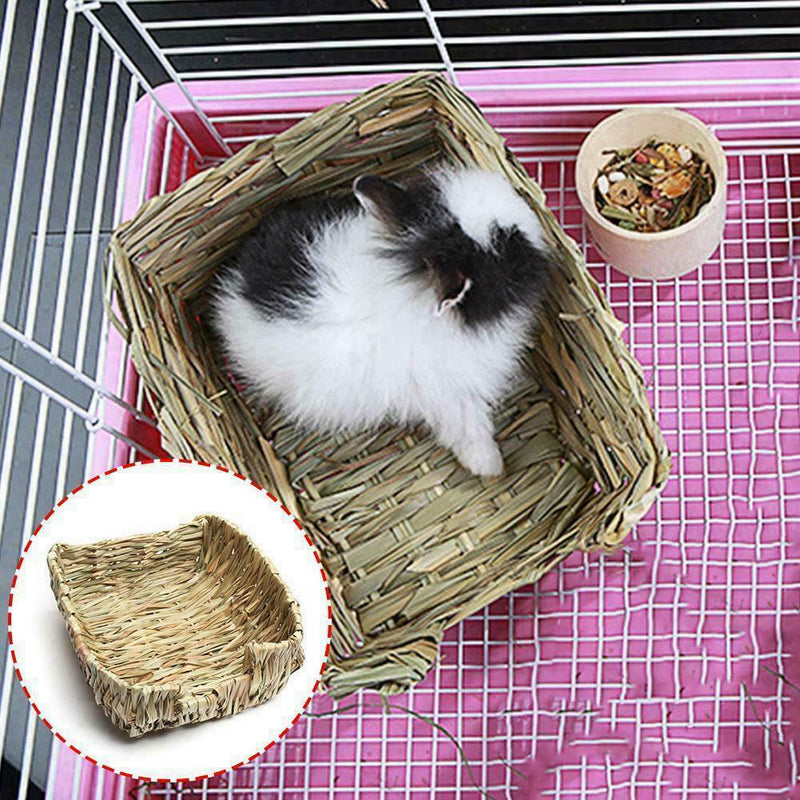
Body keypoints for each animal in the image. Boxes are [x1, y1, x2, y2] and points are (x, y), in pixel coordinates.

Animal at [212, 167, 553, 477]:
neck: (411, 284)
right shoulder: (449, 393)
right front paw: (490, 466)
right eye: (507, 246)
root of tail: (234, 286)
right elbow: (469, 427)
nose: (530, 215)